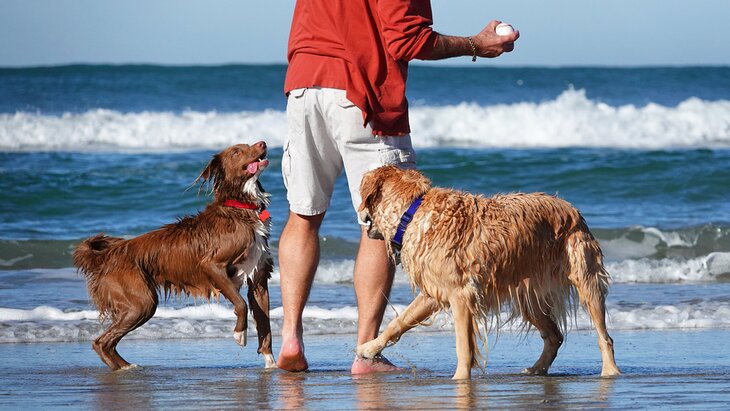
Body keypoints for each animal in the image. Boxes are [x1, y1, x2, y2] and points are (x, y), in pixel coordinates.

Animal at [73, 143, 272, 372]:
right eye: (236, 152)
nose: (263, 143)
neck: (240, 207)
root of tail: (110, 255)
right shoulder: (212, 265)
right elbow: (241, 303)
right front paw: (240, 334)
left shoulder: (259, 279)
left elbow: (265, 326)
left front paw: (272, 363)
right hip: (142, 302)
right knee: (101, 342)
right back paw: (124, 367)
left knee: (106, 342)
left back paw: (126, 367)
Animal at [356, 166, 616, 382]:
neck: (412, 214)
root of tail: (573, 209)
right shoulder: (434, 292)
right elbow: (399, 321)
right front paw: (369, 348)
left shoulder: (461, 295)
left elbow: (463, 346)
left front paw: (460, 379)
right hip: (529, 294)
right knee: (554, 335)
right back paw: (536, 369)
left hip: (585, 278)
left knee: (604, 336)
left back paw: (610, 371)